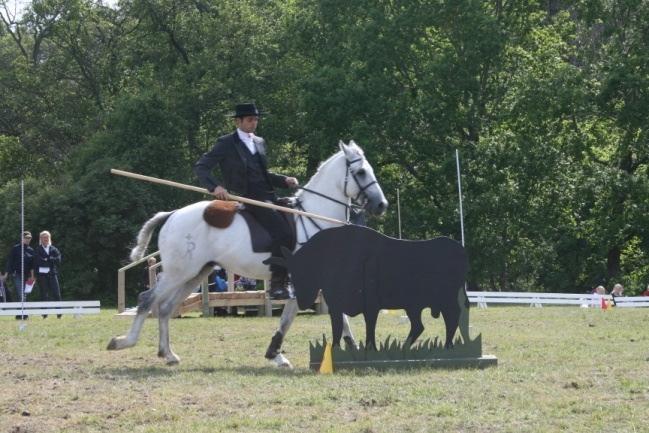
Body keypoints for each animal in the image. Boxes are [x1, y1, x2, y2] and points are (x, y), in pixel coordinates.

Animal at [108, 141, 388, 368]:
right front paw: (276, 354)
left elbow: (329, 315)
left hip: (195, 273)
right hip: (179, 271)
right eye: (360, 172)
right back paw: (123, 342)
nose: (382, 205)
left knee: (165, 307)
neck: (314, 217)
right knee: (147, 299)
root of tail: (172, 214)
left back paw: (168, 354)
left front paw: (353, 349)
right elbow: (292, 317)